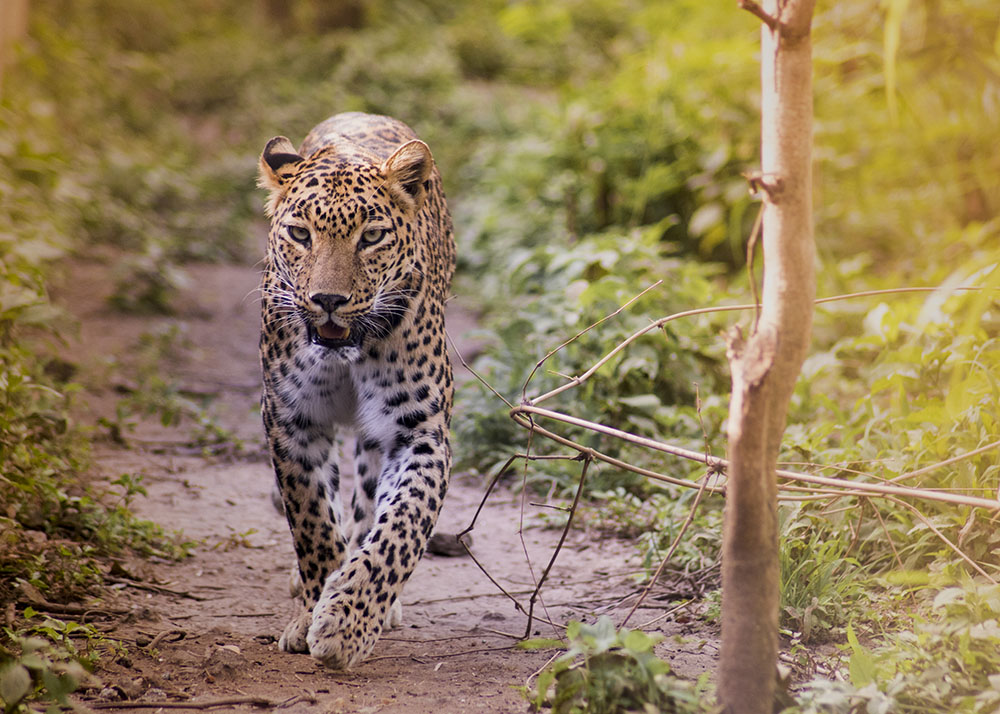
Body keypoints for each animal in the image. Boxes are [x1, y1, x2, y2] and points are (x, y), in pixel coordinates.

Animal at [256, 112, 455, 669]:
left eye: (372, 237)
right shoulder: (292, 422)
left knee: (368, 502)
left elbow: (400, 528)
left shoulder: (419, 432)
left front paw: (347, 623)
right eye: (300, 234)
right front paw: (311, 613)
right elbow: (314, 524)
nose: (328, 299)